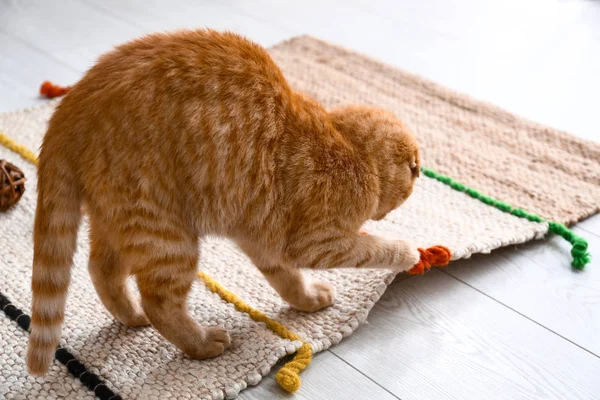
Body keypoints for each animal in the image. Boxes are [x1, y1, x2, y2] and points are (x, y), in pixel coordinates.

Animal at [28, 30, 420, 376]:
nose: (418, 176)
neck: (348, 148)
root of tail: (70, 107)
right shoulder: (313, 242)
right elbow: (372, 248)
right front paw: (409, 252)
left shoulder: (263, 236)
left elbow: (287, 278)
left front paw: (306, 299)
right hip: (166, 236)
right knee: (159, 301)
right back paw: (200, 343)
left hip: (120, 222)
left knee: (102, 270)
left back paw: (131, 315)